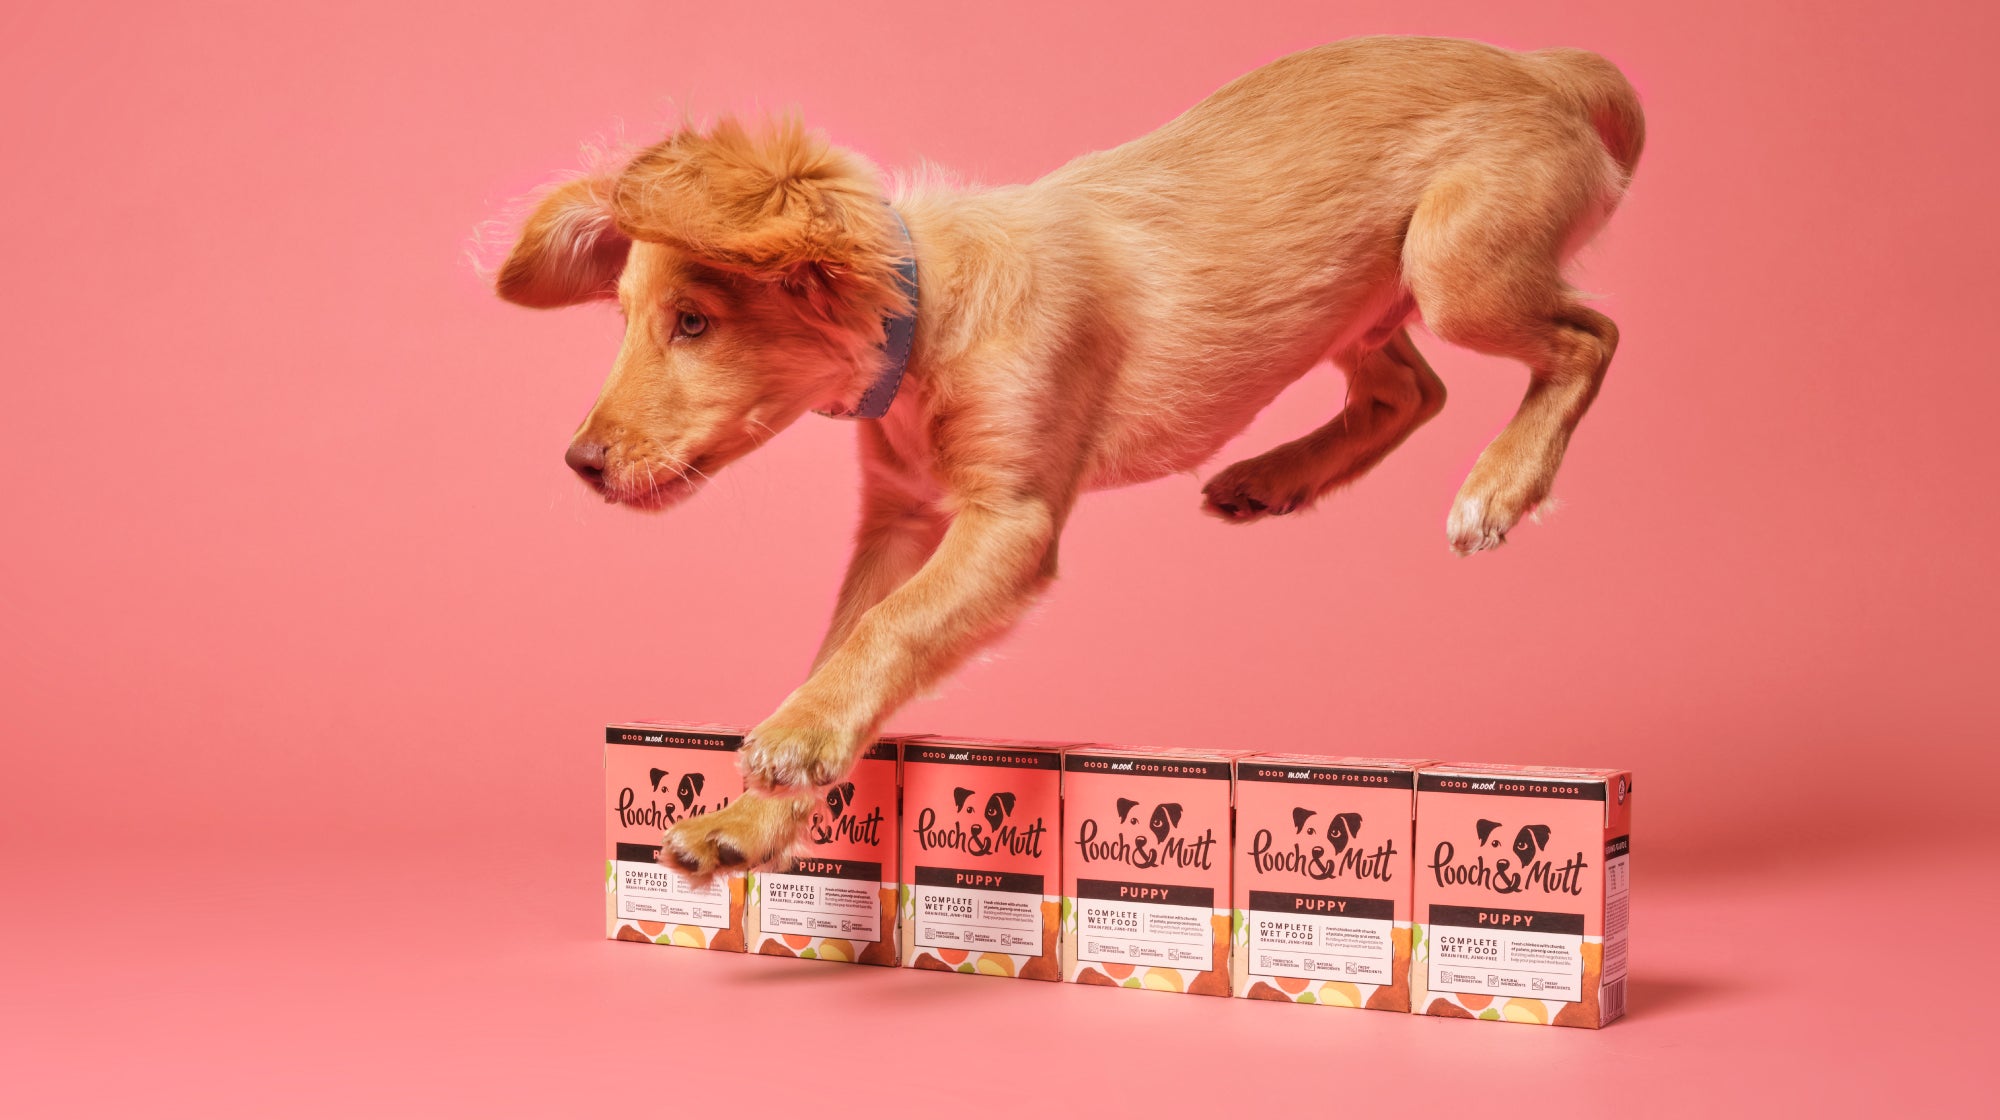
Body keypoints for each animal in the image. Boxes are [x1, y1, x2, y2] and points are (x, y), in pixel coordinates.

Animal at [496, 32, 1640, 876]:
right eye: (628, 319)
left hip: (1453, 263)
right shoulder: (899, 518)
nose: (578, 463)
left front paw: (792, 747)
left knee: (1589, 336)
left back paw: (1499, 486)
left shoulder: (1010, 523)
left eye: (693, 323)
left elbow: (888, 630)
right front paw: (750, 818)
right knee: (1411, 390)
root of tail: (1543, 68)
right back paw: (1273, 476)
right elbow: (843, 642)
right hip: (1362, 299)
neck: (930, 323)